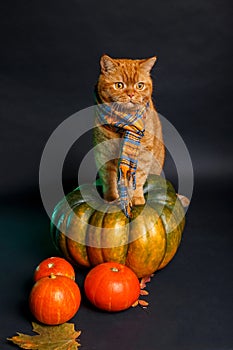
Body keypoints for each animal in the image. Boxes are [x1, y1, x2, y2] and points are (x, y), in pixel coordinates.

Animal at [93, 54, 165, 215]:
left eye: (140, 85)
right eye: (119, 85)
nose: (131, 94)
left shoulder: (144, 153)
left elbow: (138, 176)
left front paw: (136, 198)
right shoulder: (103, 152)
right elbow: (110, 179)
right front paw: (112, 199)